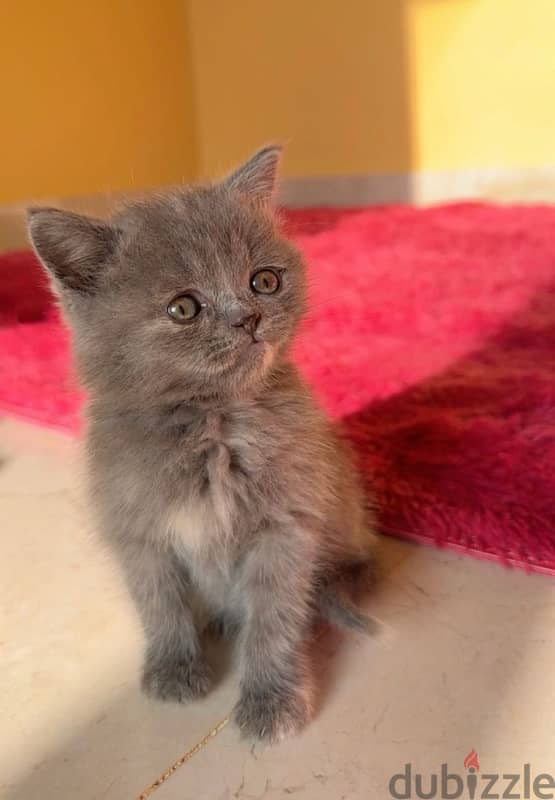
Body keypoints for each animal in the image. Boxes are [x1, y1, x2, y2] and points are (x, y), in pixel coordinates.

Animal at [28, 145, 376, 744]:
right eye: (183, 309)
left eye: (264, 281)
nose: (249, 318)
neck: (211, 425)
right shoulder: (138, 529)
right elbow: (158, 604)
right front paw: (173, 669)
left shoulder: (286, 527)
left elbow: (274, 618)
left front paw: (271, 701)